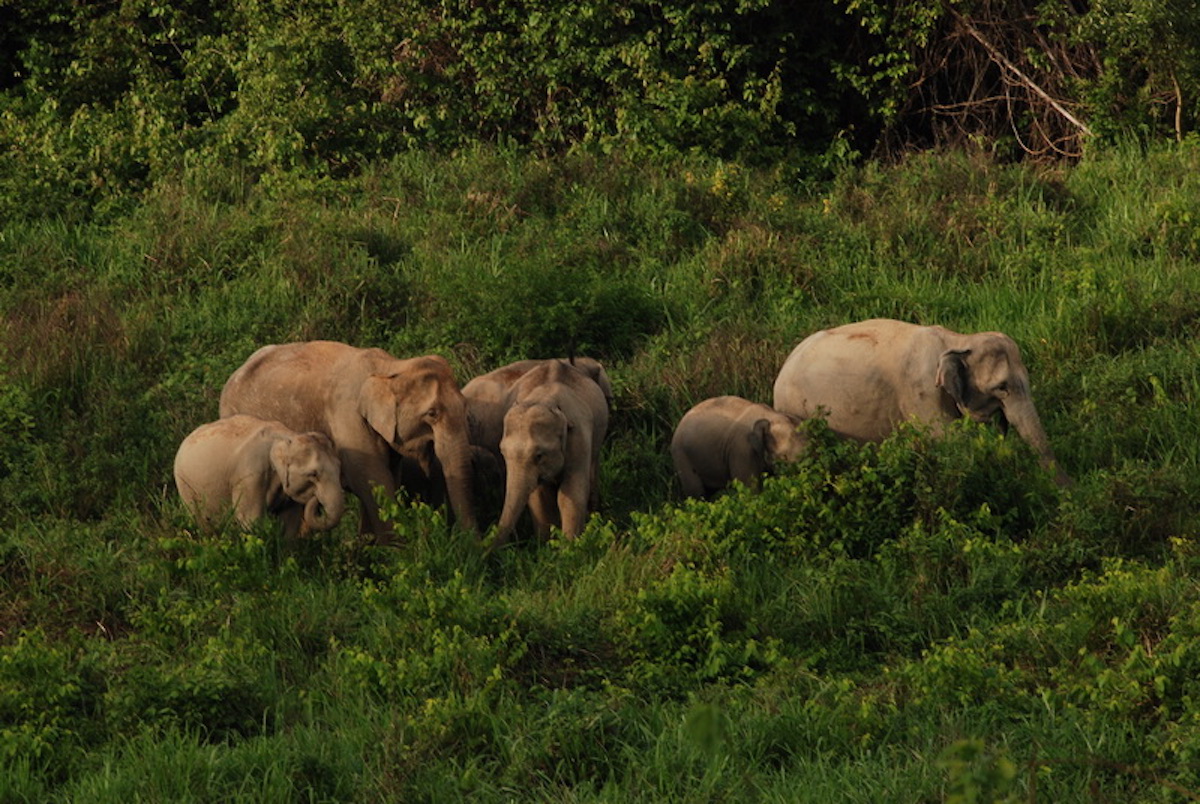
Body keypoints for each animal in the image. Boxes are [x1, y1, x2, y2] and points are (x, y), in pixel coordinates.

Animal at [174, 414, 345, 537]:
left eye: (339, 469)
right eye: (313, 474)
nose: (317, 500)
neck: (287, 437)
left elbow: (290, 522)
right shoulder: (250, 476)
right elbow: (250, 520)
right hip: (184, 485)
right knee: (201, 521)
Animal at [219, 341, 477, 539]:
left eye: (465, 408)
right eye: (432, 414)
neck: (390, 366)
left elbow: (386, 478)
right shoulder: (347, 418)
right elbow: (372, 480)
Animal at [492, 360, 610, 548]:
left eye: (539, 456)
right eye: (503, 453)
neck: (544, 398)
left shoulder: (579, 436)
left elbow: (571, 492)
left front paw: (570, 548)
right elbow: (538, 496)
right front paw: (545, 546)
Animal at [670, 396, 810, 499]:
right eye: (783, 457)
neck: (770, 416)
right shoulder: (741, 450)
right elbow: (750, 489)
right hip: (681, 457)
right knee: (697, 493)